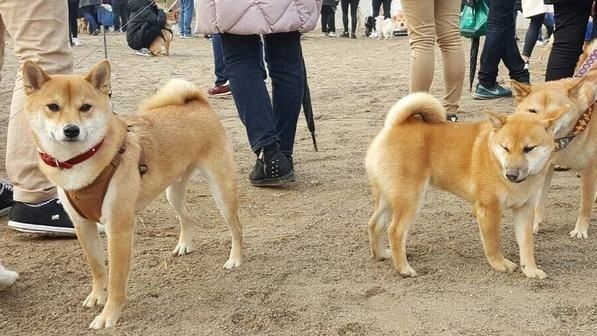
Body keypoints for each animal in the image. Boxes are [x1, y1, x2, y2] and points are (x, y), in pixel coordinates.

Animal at [21, 59, 242, 328]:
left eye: (86, 107)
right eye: (53, 107)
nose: (71, 130)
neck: (80, 161)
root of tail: (198, 103)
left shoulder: (119, 228)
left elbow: (116, 279)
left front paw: (108, 315)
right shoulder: (82, 225)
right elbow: (97, 266)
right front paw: (96, 295)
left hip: (221, 190)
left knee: (236, 227)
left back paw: (235, 259)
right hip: (173, 192)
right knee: (187, 217)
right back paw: (184, 244)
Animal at [366, 93, 564, 280]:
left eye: (529, 148)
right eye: (505, 148)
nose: (511, 174)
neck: (495, 159)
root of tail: (395, 126)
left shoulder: (525, 209)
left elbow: (526, 244)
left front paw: (530, 270)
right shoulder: (489, 210)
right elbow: (493, 243)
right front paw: (500, 264)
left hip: (389, 198)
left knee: (374, 224)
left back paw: (381, 254)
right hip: (409, 198)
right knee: (395, 231)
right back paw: (404, 269)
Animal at [508, 41, 596, 239]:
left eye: (557, 113)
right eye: (532, 111)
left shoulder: (589, 168)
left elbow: (585, 203)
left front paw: (581, 229)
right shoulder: (545, 167)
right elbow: (538, 203)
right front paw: (533, 225)